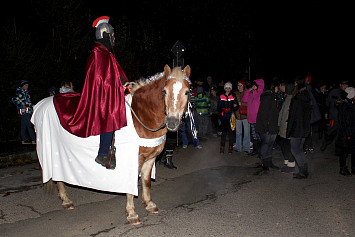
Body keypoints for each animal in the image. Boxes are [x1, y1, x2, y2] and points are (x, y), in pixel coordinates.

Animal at [33, 64, 192, 224]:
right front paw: (132, 214)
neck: (142, 116)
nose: (172, 122)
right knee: (57, 176)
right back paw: (66, 201)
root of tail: (41, 104)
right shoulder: (134, 160)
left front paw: (150, 204)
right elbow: (131, 185)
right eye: (164, 91)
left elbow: (146, 182)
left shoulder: (150, 158)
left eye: (187, 92)